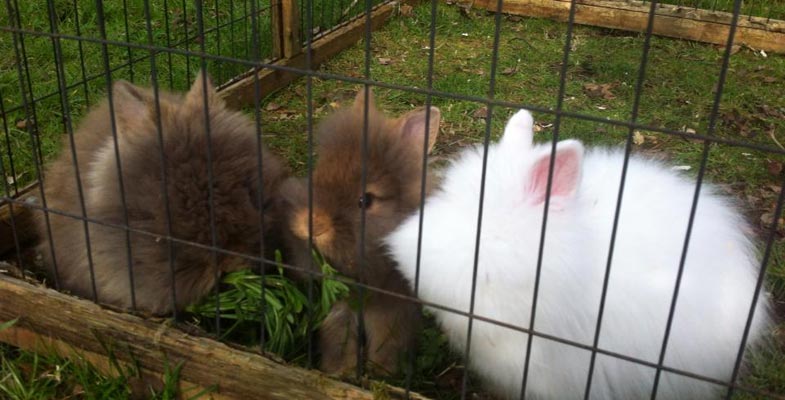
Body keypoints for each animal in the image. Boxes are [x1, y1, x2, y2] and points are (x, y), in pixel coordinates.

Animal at [280, 88, 441, 376]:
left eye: (365, 201)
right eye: (318, 174)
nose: (313, 225)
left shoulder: (392, 309)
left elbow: (386, 342)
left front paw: (381, 373)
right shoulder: (339, 310)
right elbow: (338, 340)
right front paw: (340, 372)